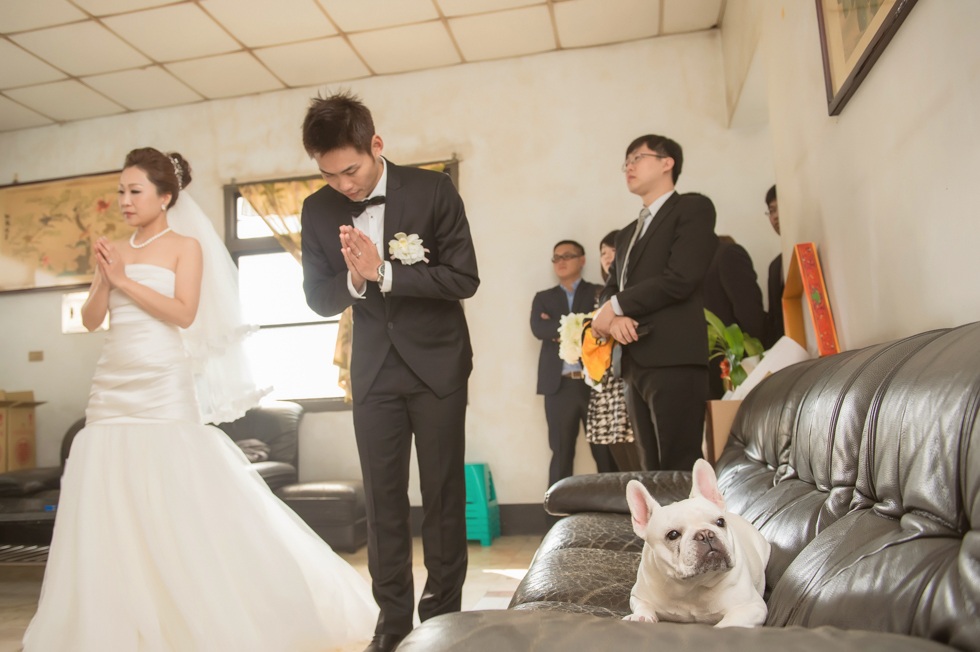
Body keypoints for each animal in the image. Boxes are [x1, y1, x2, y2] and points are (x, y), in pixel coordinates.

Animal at [623, 459, 770, 627]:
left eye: (720, 522)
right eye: (673, 534)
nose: (705, 534)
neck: (693, 586)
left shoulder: (751, 607)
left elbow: (726, 625)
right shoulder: (639, 597)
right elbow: (643, 606)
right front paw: (640, 617)